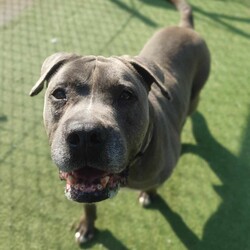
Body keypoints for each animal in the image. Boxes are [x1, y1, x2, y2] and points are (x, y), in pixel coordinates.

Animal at [29, 0, 211, 243]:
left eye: (126, 95)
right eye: (59, 93)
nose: (85, 134)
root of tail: (185, 27)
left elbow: (155, 184)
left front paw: (149, 194)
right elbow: (89, 205)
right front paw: (87, 226)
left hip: (196, 92)